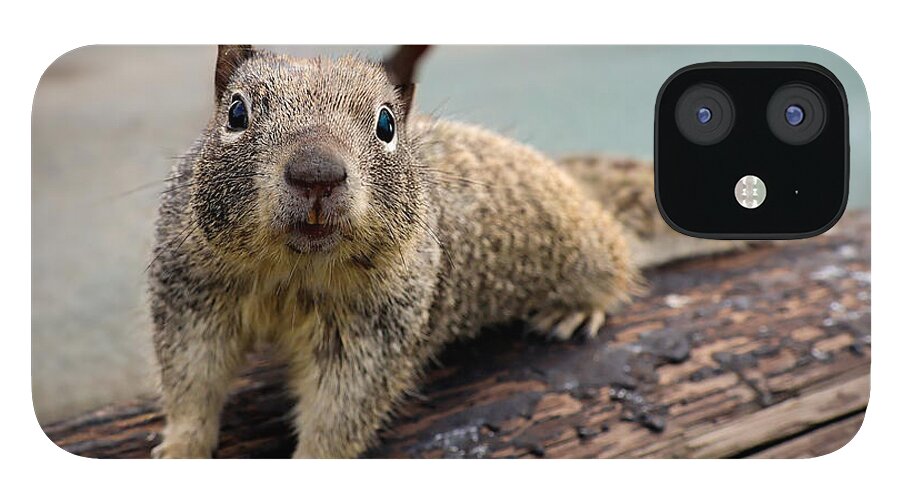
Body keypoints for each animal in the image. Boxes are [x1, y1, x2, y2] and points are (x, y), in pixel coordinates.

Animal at [149, 45, 741, 458]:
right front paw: (180, 448)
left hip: (585, 246)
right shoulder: (193, 293)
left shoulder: (376, 330)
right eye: (237, 114)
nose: (316, 173)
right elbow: (192, 380)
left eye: (387, 124)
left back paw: (576, 308)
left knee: (615, 261)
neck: (294, 272)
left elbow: (340, 411)